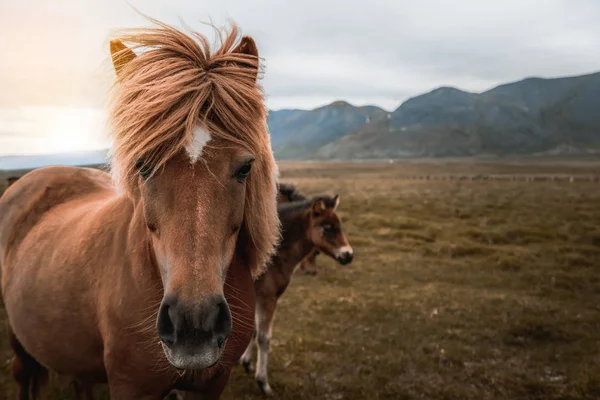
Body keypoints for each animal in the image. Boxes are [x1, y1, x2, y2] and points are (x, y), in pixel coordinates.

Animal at [0, 18, 278, 400]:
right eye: (143, 166)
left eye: (245, 167)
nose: (195, 325)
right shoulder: (131, 385)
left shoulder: (211, 384)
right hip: (20, 345)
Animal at [239, 193, 352, 394]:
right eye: (328, 228)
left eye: (339, 226)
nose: (348, 255)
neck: (275, 255)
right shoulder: (268, 297)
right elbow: (264, 338)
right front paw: (263, 383)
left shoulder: (258, 297)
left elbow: (253, 330)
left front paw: (247, 363)